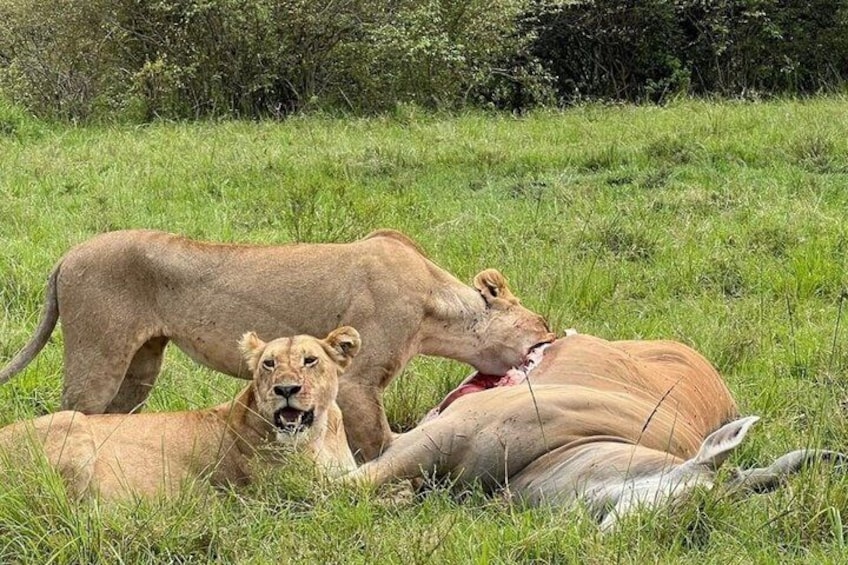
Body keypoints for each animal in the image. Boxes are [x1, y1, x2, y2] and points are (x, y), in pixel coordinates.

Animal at [0, 229, 553, 460]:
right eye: (542, 321)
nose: (553, 336)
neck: (436, 309)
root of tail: (66, 256)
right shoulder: (357, 379)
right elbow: (379, 444)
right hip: (98, 354)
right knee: (71, 410)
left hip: (140, 365)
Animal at [0, 327, 360, 501]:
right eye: (268, 364)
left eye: (310, 360)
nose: (285, 389)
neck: (321, 435)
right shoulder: (296, 491)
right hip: (72, 421)